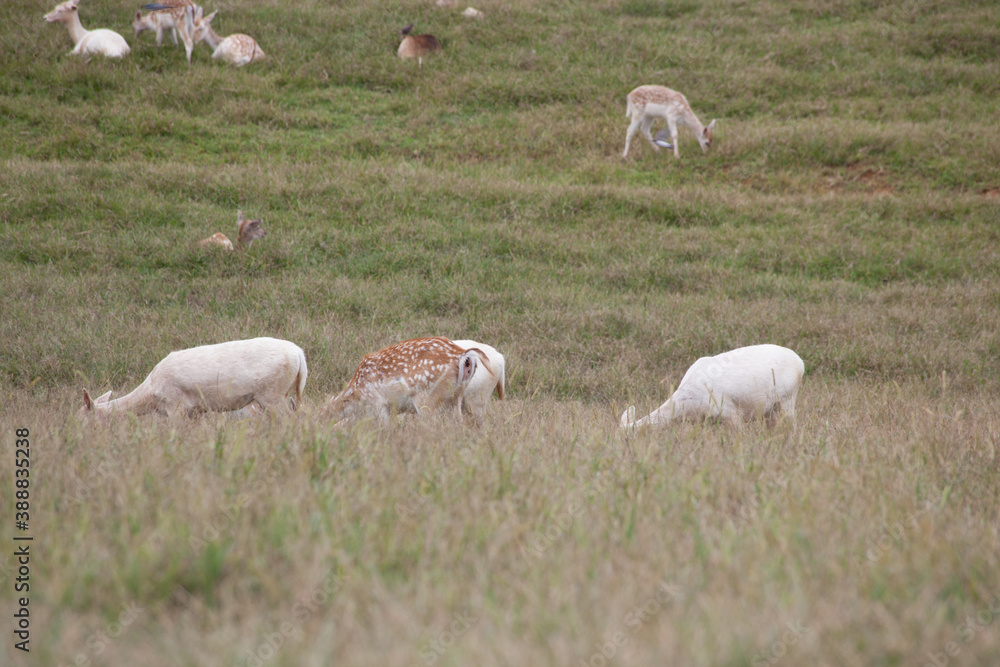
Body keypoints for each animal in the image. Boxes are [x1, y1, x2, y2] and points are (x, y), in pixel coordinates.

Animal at [79, 337, 308, 420]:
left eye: (81, 417)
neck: (151, 396)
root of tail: (300, 355)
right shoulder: (195, 410)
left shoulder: (175, 405)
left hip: (271, 394)